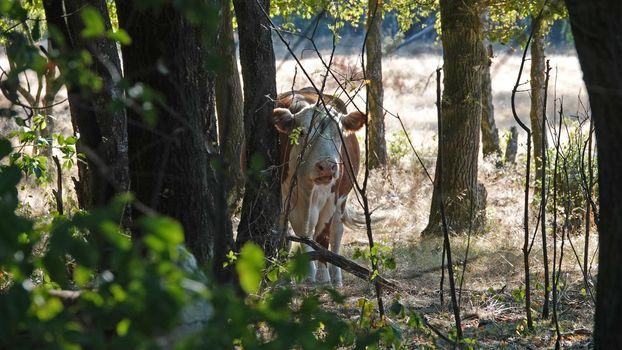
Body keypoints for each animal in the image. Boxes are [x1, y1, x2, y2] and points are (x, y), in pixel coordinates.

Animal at [272, 88, 366, 288]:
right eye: (302, 133)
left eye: (340, 133)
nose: (327, 166)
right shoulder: (283, 200)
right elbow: (291, 238)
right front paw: (288, 275)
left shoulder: (331, 200)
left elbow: (322, 238)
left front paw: (323, 277)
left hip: (341, 201)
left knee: (337, 234)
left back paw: (336, 276)